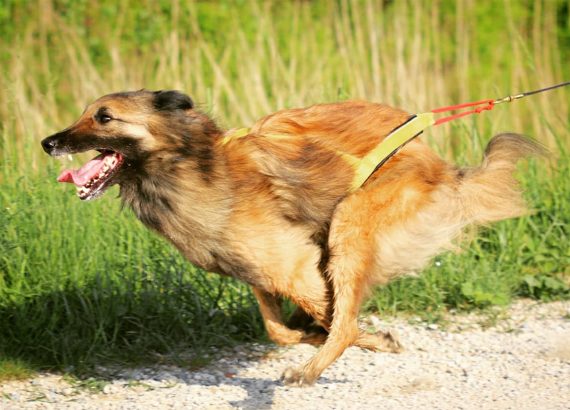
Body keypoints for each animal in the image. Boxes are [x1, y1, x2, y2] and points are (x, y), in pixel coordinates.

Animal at [41, 89, 540, 384]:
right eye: (84, 113)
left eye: (104, 117)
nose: (48, 143)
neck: (192, 167)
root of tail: (436, 163)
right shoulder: (257, 272)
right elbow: (278, 329)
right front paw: (310, 333)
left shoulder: (294, 264)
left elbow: (340, 321)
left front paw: (367, 338)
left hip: (349, 222)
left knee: (345, 320)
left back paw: (310, 371)